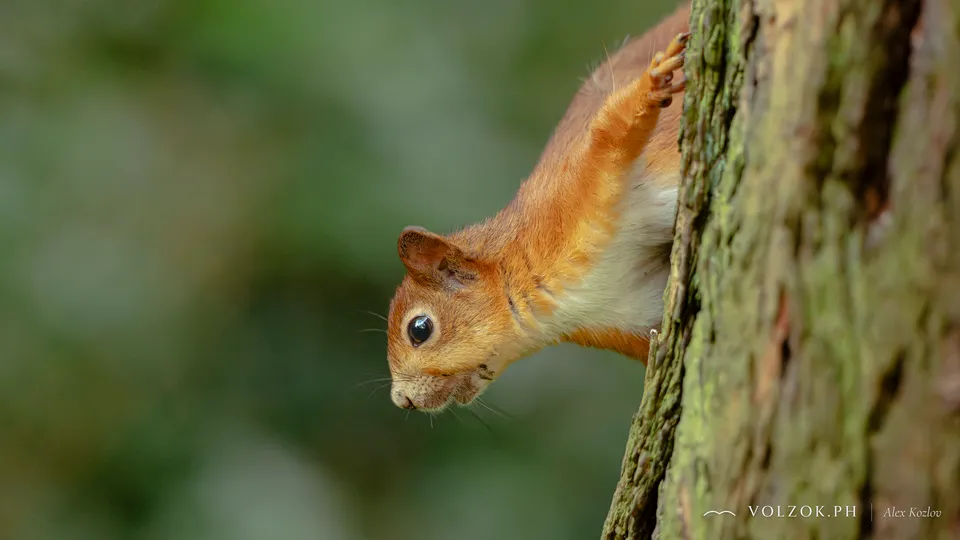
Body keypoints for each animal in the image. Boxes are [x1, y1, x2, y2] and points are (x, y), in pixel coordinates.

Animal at [385, 4, 691, 411]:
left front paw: (654, 81)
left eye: (420, 329)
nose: (401, 400)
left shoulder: (575, 186)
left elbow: (610, 130)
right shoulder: (630, 316)